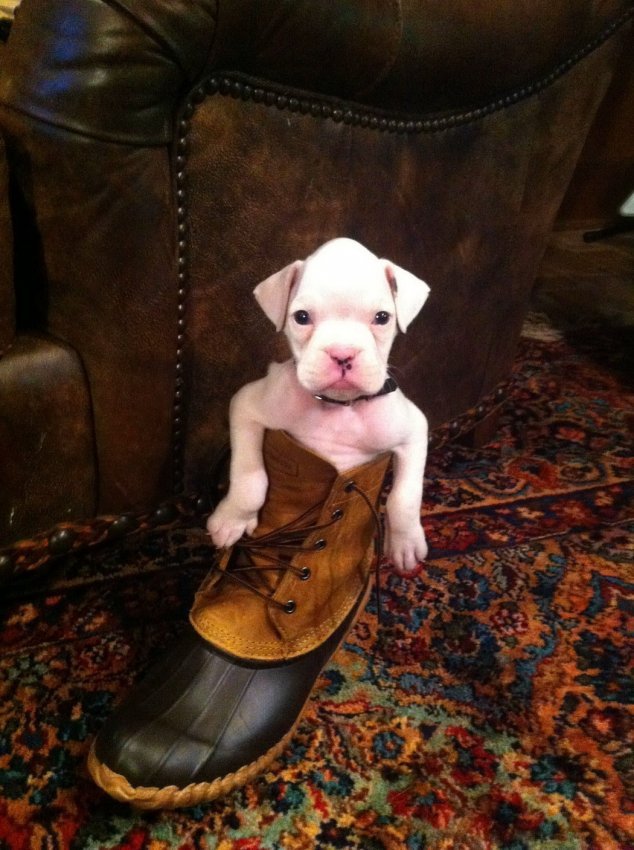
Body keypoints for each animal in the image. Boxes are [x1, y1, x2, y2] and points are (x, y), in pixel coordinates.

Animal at [207, 237, 430, 573]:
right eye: (301, 317)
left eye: (382, 318)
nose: (342, 353)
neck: (339, 407)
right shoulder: (246, 406)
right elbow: (249, 477)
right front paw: (233, 518)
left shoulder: (414, 430)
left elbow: (404, 497)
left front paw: (405, 543)